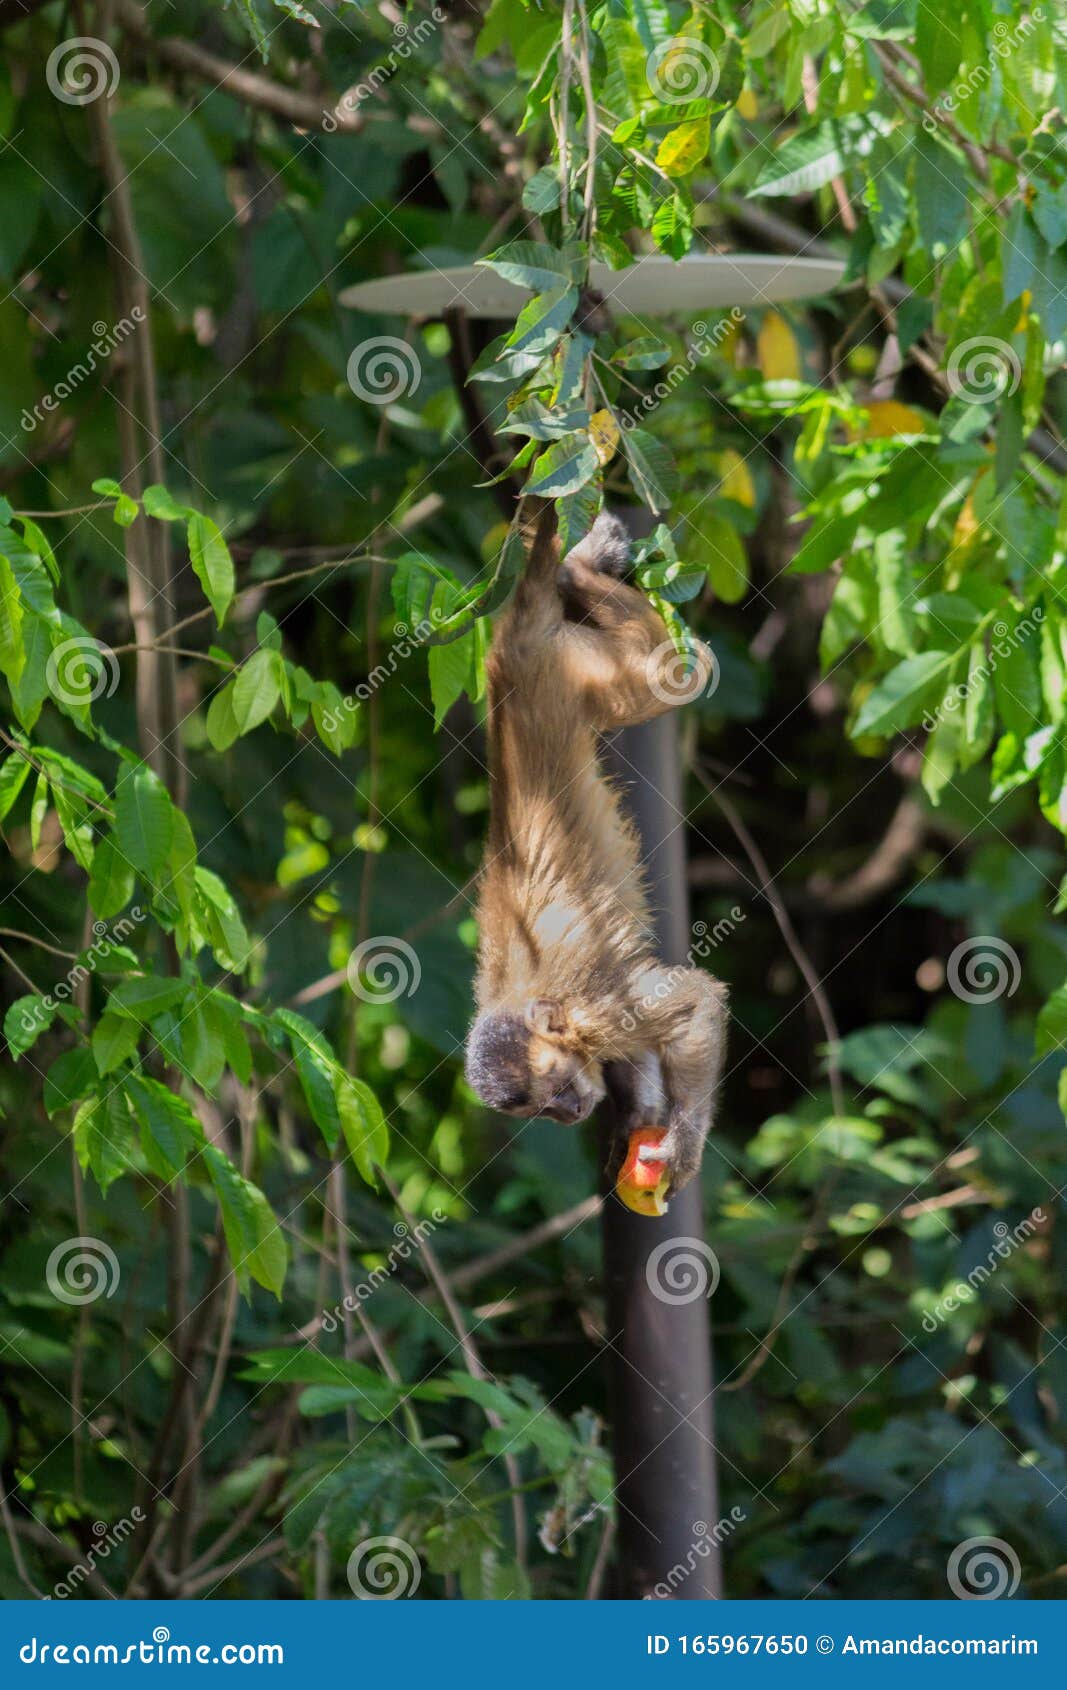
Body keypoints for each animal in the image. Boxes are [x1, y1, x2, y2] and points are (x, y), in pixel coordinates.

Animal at [463, 500, 730, 1203]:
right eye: (542, 1112)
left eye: (555, 1093)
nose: (571, 1113)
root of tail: (512, 655)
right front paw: (636, 1120)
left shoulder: (597, 1011)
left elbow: (696, 1004)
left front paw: (683, 1145)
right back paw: (575, 568)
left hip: (574, 668)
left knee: (675, 677)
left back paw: (578, 569)